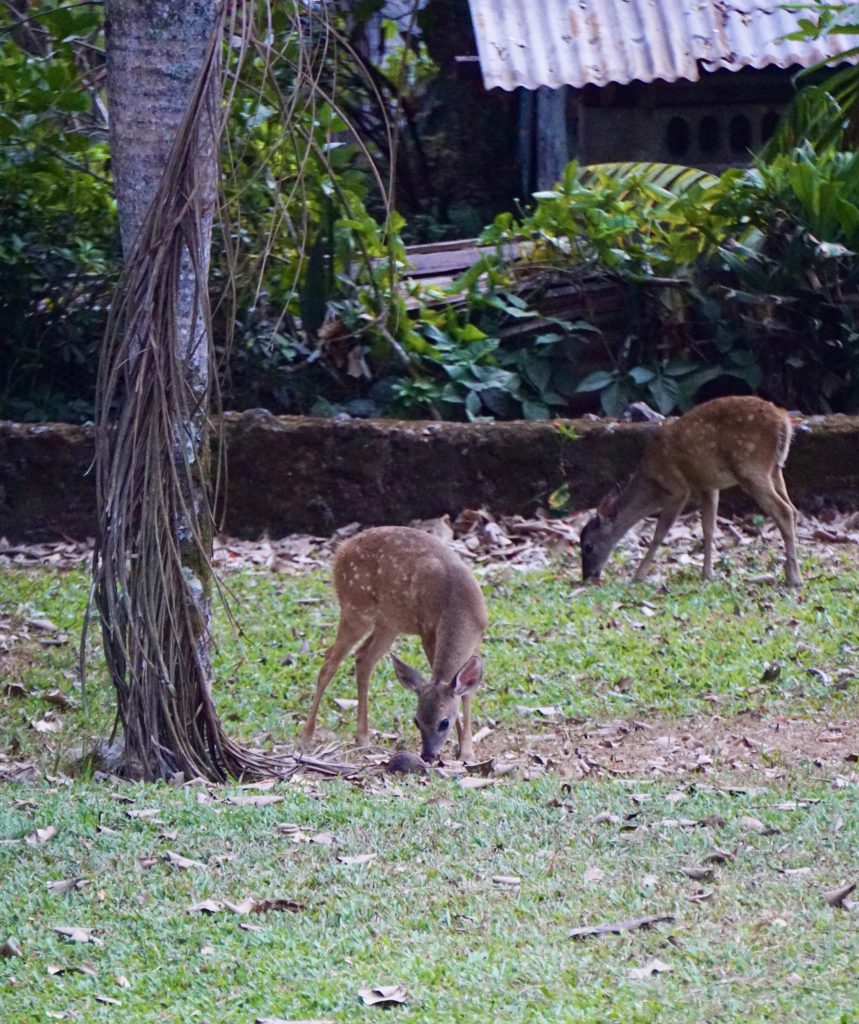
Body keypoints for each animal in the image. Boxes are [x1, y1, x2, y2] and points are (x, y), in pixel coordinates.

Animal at [303, 528, 491, 761]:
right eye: (416, 721)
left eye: (443, 723)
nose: (427, 755)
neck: (460, 608)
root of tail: (340, 550)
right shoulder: (428, 630)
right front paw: (463, 750)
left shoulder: (477, 639)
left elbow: (467, 693)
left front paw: (467, 752)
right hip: (355, 607)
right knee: (330, 660)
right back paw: (306, 736)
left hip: (388, 622)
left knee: (363, 657)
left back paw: (362, 738)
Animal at [581, 397, 802, 589]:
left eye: (587, 546)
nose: (587, 576)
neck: (652, 482)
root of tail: (784, 422)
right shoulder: (708, 486)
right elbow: (709, 529)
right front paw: (707, 575)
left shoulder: (678, 488)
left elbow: (659, 534)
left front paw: (638, 576)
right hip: (774, 468)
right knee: (792, 508)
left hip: (750, 466)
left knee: (784, 511)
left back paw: (794, 578)